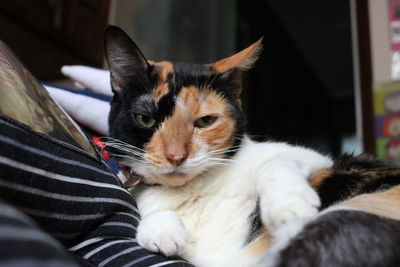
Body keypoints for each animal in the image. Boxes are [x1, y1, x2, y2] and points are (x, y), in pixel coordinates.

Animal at [104, 25, 400, 267]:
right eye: (146, 119)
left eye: (205, 121)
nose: (176, 157)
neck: (193, 190)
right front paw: (162, 228)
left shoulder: (316, 158)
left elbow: (274, 165)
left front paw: (289, 205)